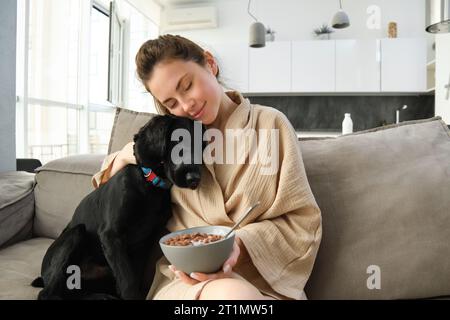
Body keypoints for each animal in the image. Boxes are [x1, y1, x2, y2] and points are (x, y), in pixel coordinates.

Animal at [32, 115, 205, 300]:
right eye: (178, 141)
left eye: (202, 146)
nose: (194, 179)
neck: (149, 185)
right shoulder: (111, 235)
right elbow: (128, 282)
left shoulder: (142, 244)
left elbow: (133, 277)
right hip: (76, 233)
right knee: (47, 293)